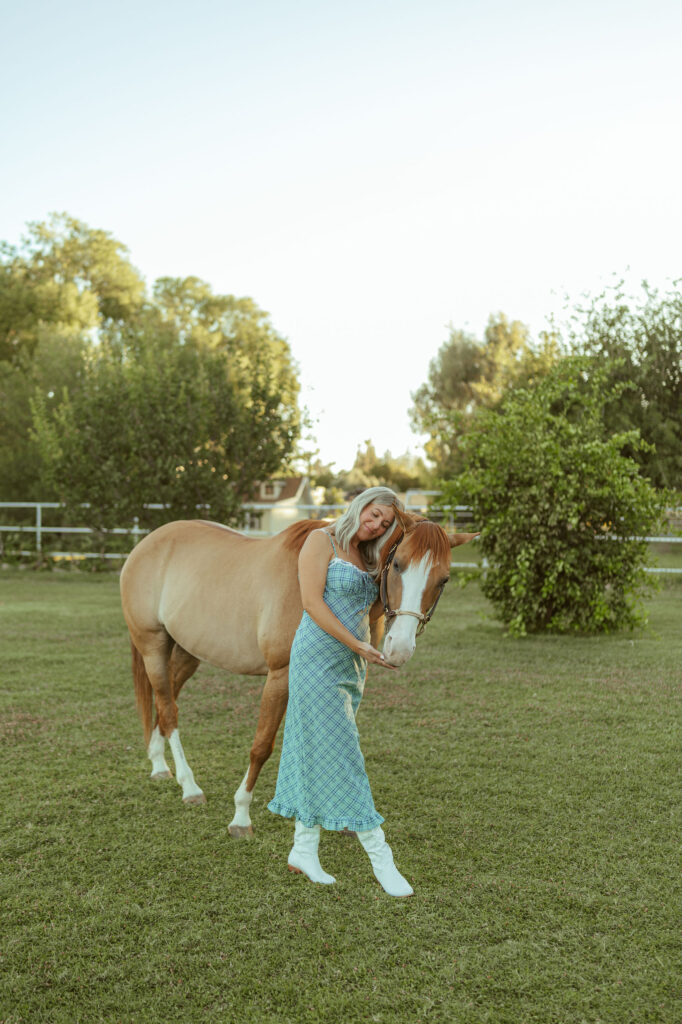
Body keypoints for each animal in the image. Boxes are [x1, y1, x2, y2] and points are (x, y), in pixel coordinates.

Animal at [119, 508, 477, 836]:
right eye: (399, 564)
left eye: (444, 579)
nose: (399, 648)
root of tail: (146, 543)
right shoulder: (280, 676)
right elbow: (261, 746)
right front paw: (241, 817)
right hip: (153, 648)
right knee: (168, 709)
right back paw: (190, 787)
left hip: (187, 652)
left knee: (166, 701)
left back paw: (158, 764)